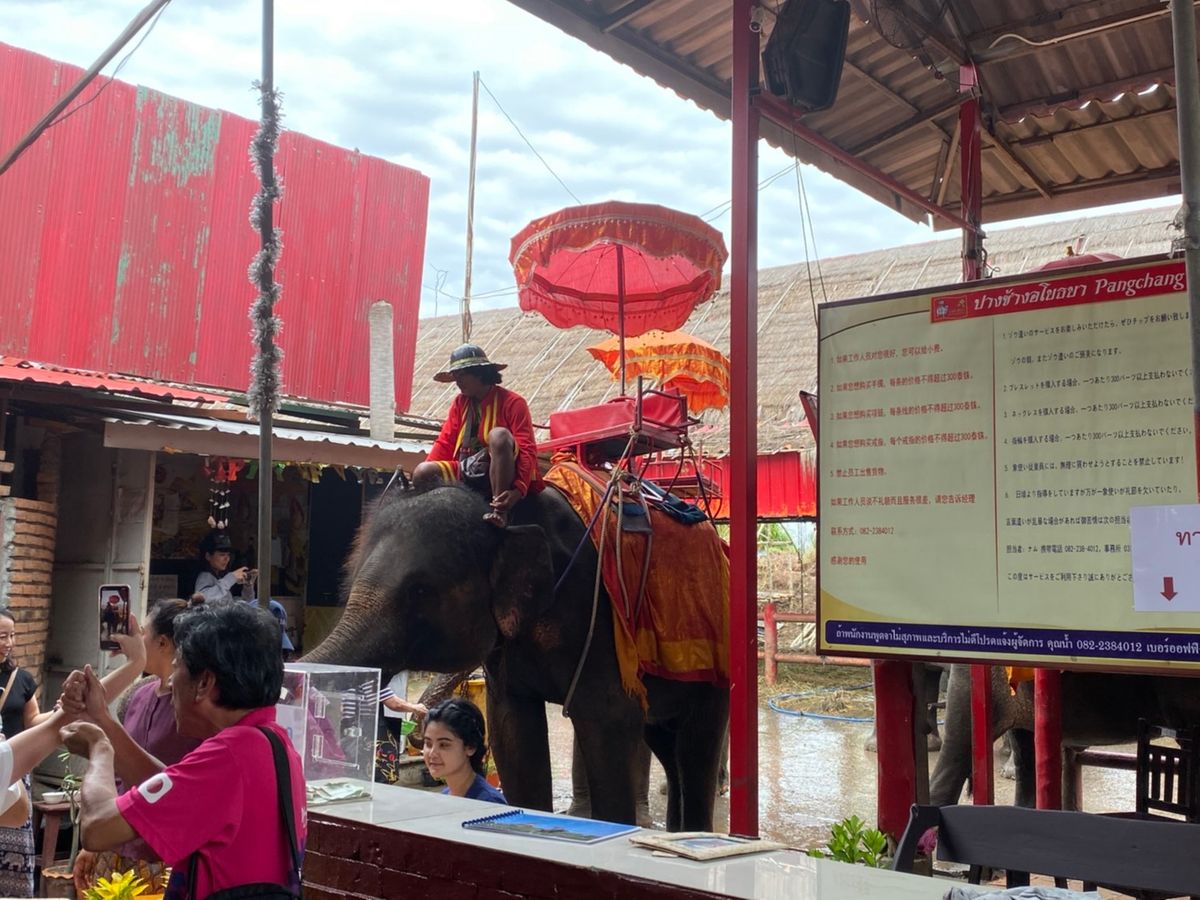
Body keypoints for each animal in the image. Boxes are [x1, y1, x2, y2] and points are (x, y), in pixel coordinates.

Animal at [304, 482, 729, 830]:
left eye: (420, 591)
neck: (505, 518)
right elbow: (512, 730)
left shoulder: (599, 619)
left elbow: (611, 719)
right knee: (665, 739)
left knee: (695, 745)